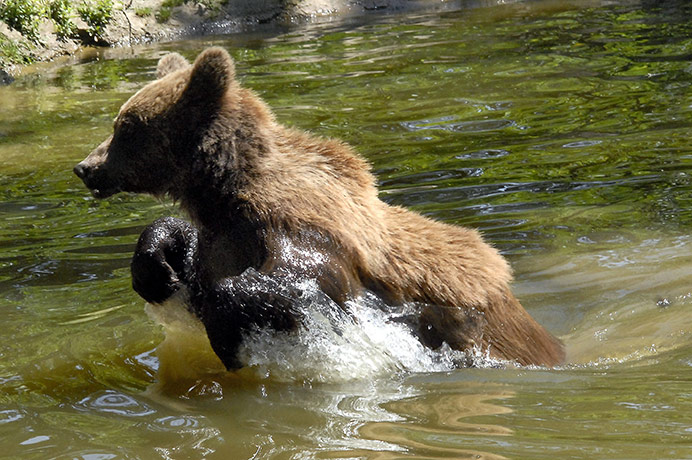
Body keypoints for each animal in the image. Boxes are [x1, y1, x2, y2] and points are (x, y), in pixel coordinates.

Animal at [74, 47, 565, 370]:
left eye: (126, 127)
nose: (85, 167)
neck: (224, 191)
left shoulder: (302, 228)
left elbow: (304, 276)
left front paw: (229, 332)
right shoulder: (224, 234)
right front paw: (155, 267)